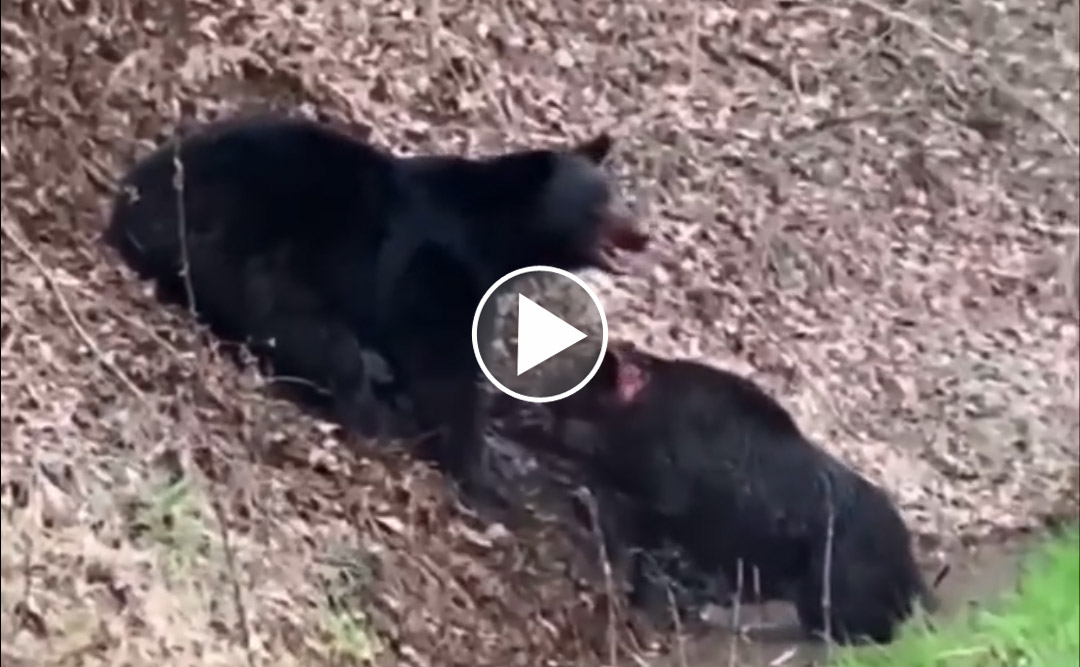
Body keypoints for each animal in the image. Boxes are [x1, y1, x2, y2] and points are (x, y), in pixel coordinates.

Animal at [105, 114, 648, 498]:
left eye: (618, 195)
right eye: (602, 200)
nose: (641, 235)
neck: (495, 236)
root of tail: (133, 193)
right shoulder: (435, 268)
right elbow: (445, 366)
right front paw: (484, 473)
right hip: (255, 216)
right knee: (278, 308)